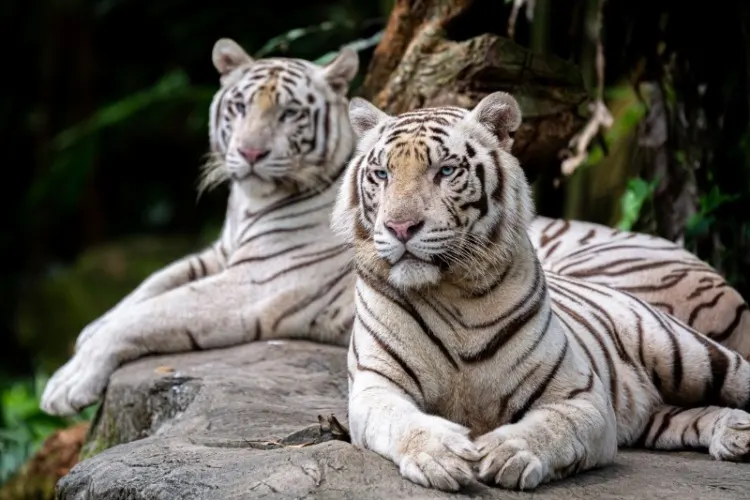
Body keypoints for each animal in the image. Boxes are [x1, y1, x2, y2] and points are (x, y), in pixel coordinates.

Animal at [38, 38, 362, 414]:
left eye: (290, 113)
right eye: (240, 107)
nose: (250, 153)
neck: (250, 204)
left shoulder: (257, 281)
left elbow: (149, 312)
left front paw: (67, 384)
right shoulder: (220, 252)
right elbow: (152, 283)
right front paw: (91, 328)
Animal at [336, 91, 750, 492]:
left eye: (446, 171)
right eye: (381, 174)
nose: (400, 228)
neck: (454, 291)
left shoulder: (580, 396)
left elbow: (552, 428)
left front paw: (509, 453)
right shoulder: (376, 387)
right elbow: (402, 421)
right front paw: (441, 454)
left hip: (689, 353)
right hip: (658, 414)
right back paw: (735, 432)